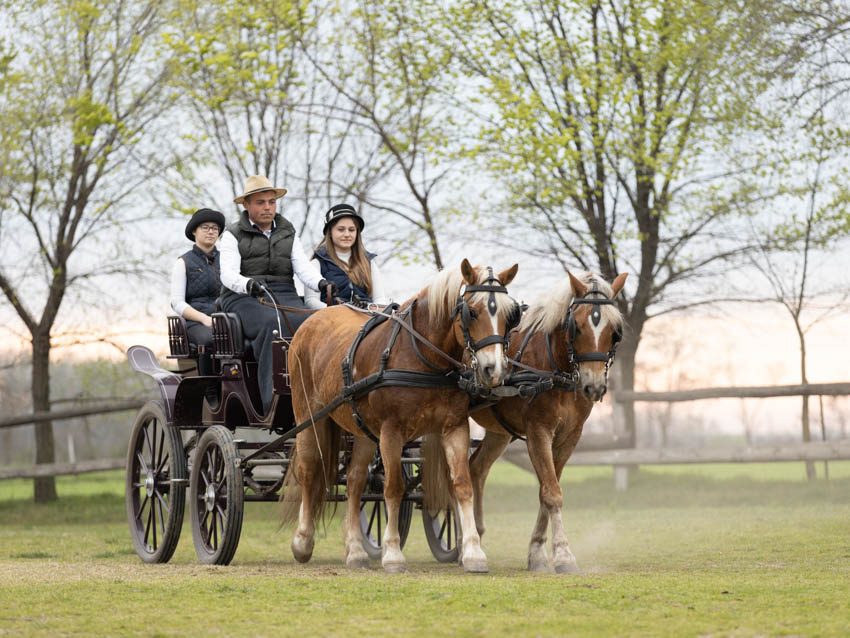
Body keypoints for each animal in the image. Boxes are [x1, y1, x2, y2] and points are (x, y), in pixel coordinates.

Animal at [280, 260, 516, 576]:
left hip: (364, 430)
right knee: (309, 471)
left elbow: (462, 484)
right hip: (310, 418)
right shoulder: (392, 431)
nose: (494, 369)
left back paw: (355, 550)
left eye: (509, 315)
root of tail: (312, 320)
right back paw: (303, 541)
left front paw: (474, 552)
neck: (422, 354)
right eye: (472, 311)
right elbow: (393, 488)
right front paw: (392, 553)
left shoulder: (454, 427)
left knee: (355, 481)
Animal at [434, 270, 628, 576]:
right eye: (577, 327)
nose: (594, 386)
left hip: (499, 431)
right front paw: (563, 555)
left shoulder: (569, 437)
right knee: (452, 474)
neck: (554, 367)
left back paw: (477, 533)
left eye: (614, 331)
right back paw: (465, 544)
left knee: (476, 469)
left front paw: (537, 553)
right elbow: (552, 492)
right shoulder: (539, 432)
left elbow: (546, 490)